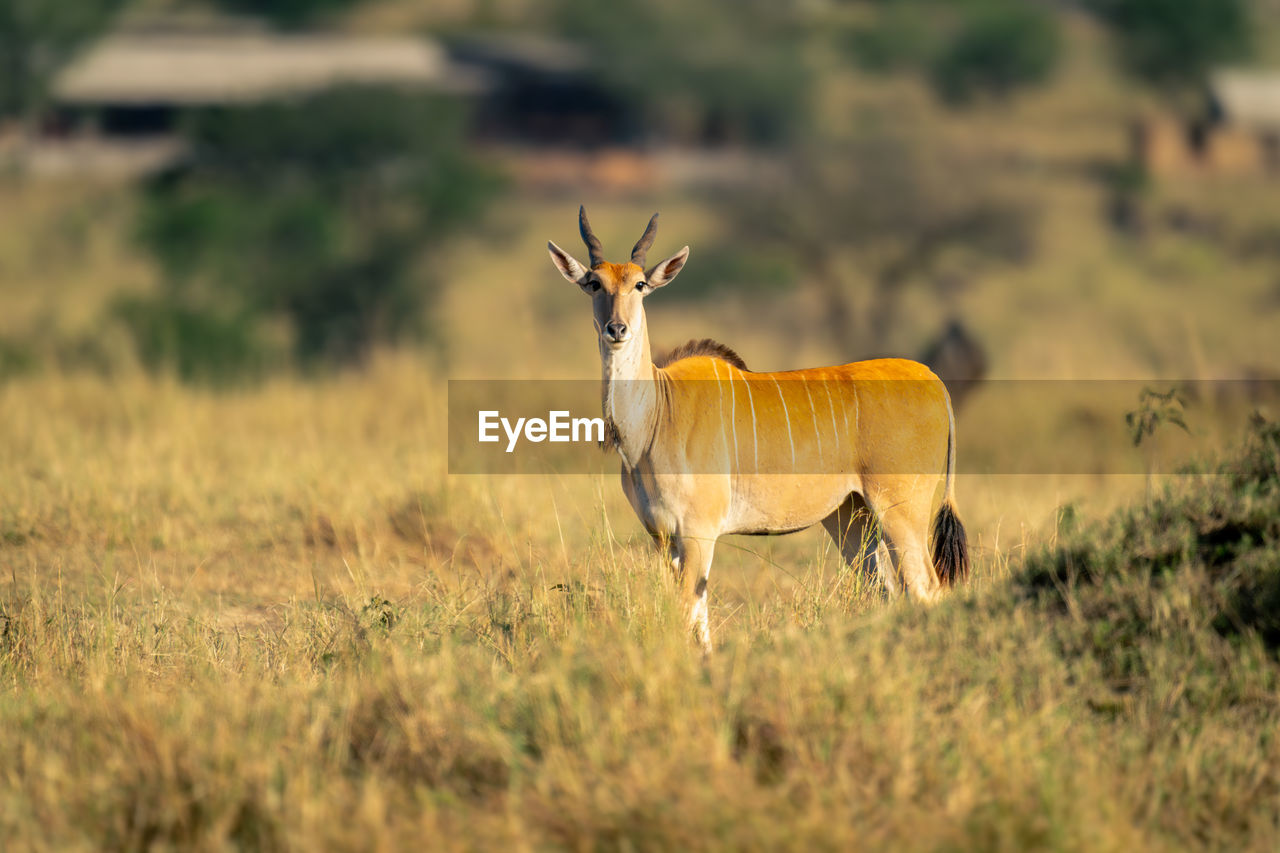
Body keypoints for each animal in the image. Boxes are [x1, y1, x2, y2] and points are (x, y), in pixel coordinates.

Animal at [545, 208, 962, 648]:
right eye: (594, 283)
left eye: (639, 284)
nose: (616, 329)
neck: (657, 415)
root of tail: (932, 378)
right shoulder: (664, 539)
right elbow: (699, 623)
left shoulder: (698, 533)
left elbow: (686, 613)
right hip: (852, 518)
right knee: (888, 589)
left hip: (902, 511)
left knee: (926, 588)